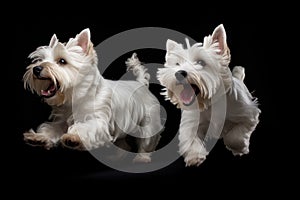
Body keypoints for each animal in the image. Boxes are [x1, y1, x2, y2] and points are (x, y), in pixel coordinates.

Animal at [23, 28, 163, 162]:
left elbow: (85, 127)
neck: (77, 96)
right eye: (40, 60)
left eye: (62, 61)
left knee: (147, 141)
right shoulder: (62, 121)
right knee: (124, 144)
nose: (36, 69)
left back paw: (142, 158)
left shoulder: (99, 120)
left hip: (148, 122)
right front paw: (38, 137)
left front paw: (73, 137)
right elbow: (51, 128)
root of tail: (141, 84)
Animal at [157, 24, 260, 166]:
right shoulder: (192, 122)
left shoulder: (248, 115)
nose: (178, 73)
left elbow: (235, 136)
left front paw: (239, 148)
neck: (209, 102)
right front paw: (195, 156)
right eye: (177, 64)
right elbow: (191, 138)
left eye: (201, 62)